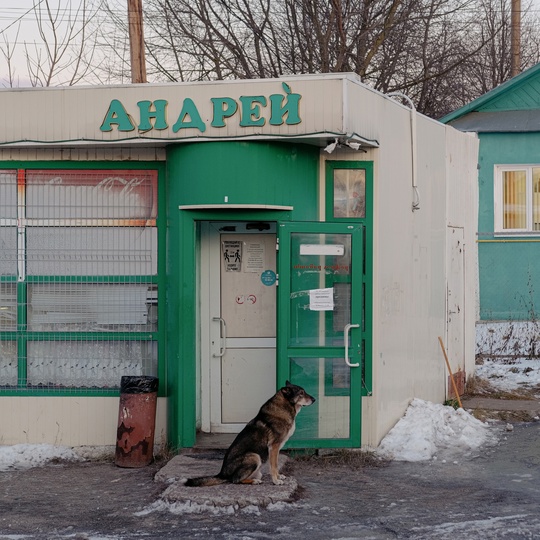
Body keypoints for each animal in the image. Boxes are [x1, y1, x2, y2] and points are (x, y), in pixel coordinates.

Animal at [185, 382, 314, 488]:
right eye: (301, 393)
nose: (314, 399)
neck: (285, 406)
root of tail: (222, 474)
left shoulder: (275, 449)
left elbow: (276, 465)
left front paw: (279, 476)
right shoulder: (273, 447)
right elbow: (273, 466)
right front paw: (276, 481)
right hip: (254, 456)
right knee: (235, 480)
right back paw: (254, 481)